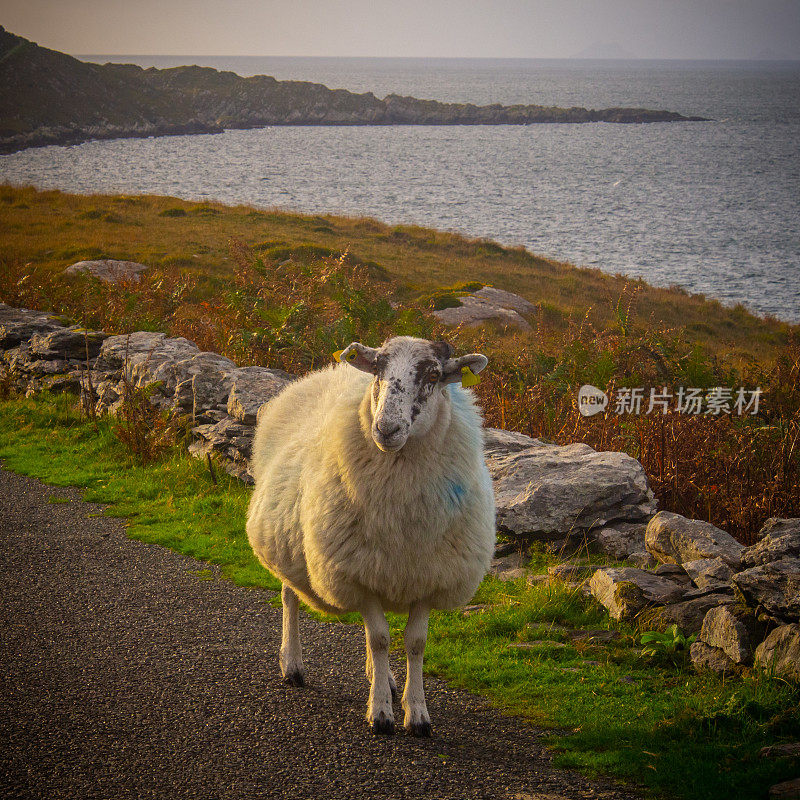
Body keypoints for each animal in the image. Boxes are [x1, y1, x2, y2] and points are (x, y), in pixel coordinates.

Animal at [245, 334, 494, 736]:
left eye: (434, 375)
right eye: (378, 369)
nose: (386, 429)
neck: (403, 516)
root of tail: (322, 374)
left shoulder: (427, 577)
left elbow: (414, 643)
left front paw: (417, 713)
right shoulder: (355, 575)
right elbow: (379, 639)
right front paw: (380, 714)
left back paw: (385, 680)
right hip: (292, 543)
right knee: (290, 597)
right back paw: (292, 665)